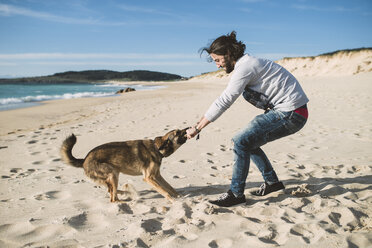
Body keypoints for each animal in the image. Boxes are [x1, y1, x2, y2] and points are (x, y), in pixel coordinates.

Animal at [61, 129, 189, 202]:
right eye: (177, 133)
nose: (187, 128)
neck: (157, 148)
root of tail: (84, 160)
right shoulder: (149, 178)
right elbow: (164, 191)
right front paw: (173, 200)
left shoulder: (157, 176)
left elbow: (169, 187)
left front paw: (178, 196)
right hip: (112, 173)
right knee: (113, 199)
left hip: (114, 174)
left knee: (110, 191)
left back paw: (125, 193)